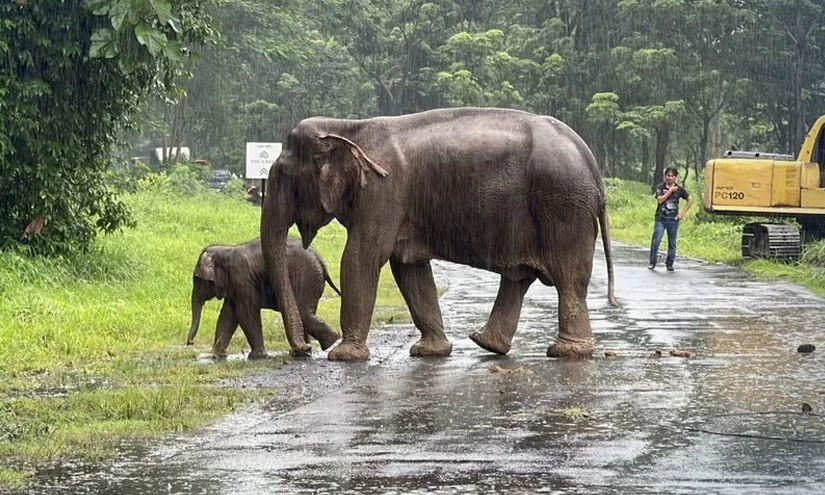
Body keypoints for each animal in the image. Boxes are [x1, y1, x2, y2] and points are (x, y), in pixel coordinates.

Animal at [186, 238, 341, 359]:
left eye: (197, 279)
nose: (190, 343)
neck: (226, 250)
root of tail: (321, 260)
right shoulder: (234, 286)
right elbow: (228, 315)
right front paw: (215, 356)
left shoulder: (242, 279)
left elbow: (245, 314)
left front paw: (257, 357)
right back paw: (304, 352)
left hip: (306, 279)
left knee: (303, 311)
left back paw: (330, 341)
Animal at [260, 107, 617, 362]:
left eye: (284, 176)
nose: (304, 350)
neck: (347, 127)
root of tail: (590, 162)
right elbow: (409, 269)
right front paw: (429, 352)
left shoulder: (383, 192)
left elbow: (362, 257)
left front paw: (343, 356)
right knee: (521, 276)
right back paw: (488, 344)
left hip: (562, 206)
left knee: (569, 277)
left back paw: (566, 352)